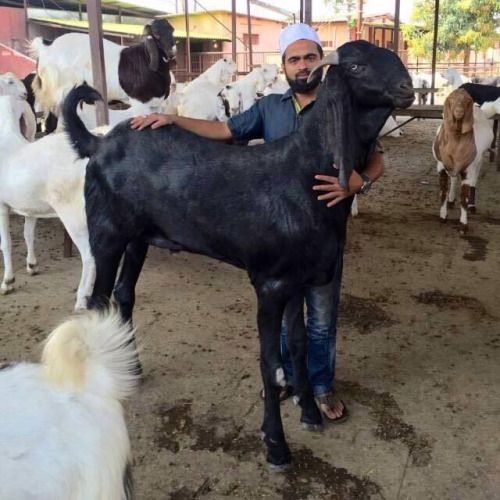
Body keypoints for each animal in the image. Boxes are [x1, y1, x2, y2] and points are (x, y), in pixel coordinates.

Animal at [0, 92, 96, 306]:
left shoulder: (0, 206)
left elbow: (6, 242)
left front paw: (7, 282)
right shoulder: (30, 207)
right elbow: (28, 233)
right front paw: (32, 265)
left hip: (75, 216)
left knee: (91, 256)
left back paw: (82, 299)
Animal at [63, 41, 414, 470]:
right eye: (356, 66)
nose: (407, 88)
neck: (302, 171)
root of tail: (98, 144)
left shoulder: (298, 279)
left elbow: (298, 343)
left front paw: (309, 411)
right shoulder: (270, 283)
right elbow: (269, 362)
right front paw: (276, 444)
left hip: (138, 238)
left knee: (124, 295)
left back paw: (131, 367)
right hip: (107, 234)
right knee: (97, 301)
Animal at [432, 88, 494, 232]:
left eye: (467, 100)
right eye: (451, 99)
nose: (459, 111)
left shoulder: (468, 169)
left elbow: (464, 197)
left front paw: (463, 225)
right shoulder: (441, 166)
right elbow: (443, 192)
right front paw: (443, 217)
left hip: (479, 161)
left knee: (474, 182)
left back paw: (472, 206)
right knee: (454, 179)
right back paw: (451, 200)